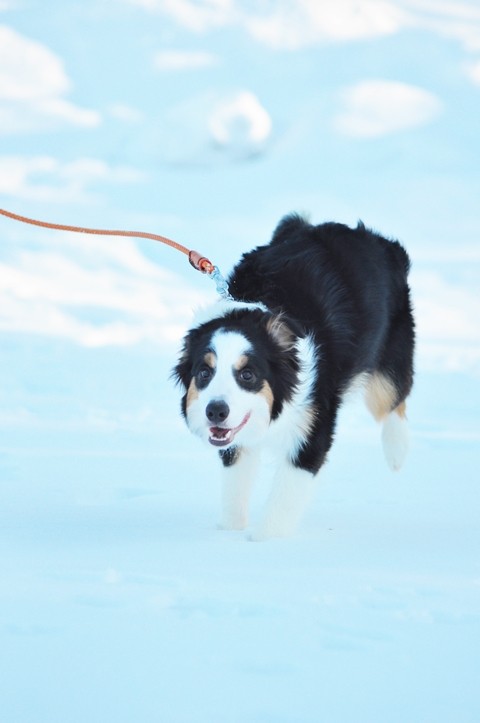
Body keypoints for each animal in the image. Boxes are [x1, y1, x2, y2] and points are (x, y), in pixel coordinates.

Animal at [172, 212, 412, 540]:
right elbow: (235, 482)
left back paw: (397, 453)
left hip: (387, 358)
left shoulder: (314, 426)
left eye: (248, 374)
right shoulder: (235, 439)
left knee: (393, 397)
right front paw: (228, 533)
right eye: (204, 372)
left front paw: (264, 543)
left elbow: (287, 492)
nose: (216, 411)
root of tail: (377, 240)